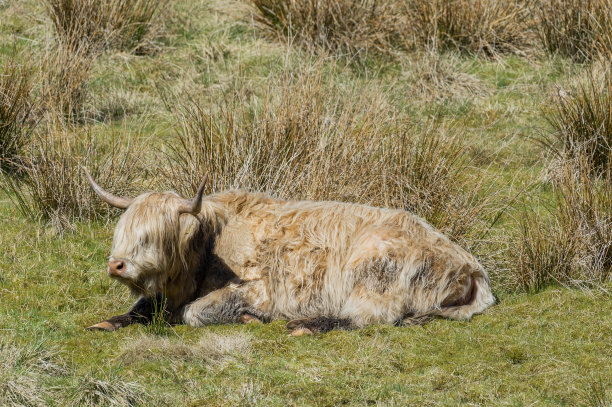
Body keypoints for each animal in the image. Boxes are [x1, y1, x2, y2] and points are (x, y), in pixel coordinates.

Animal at [86, 169, 494, 334]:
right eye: (123, 233)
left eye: (151, 237)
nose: (116, 265)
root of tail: (470, 265)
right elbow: (142, 306)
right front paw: (106, 321)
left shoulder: (259, 289)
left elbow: (195, 313)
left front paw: (249, 319)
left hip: (374, 274)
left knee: (370, 317)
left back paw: (304, 326)